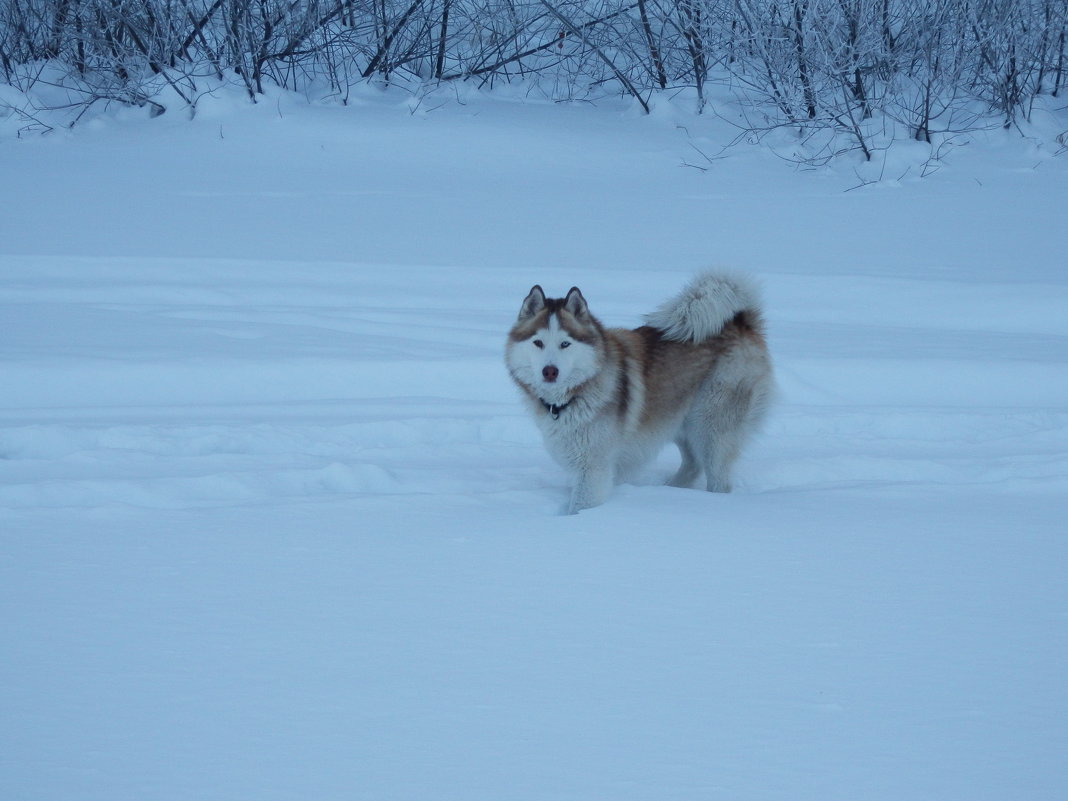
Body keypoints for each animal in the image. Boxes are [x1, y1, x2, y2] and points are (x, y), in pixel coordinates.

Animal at [504, 273, 773, 516]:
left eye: (565, 344)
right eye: (538, 343)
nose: (550, 371)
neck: (573, 396)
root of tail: (740, 321)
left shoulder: (593, 469)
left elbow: (580, 507)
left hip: (710, 429)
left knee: (718, 477)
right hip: (680, 421)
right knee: (693, 464)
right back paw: (670, 491)